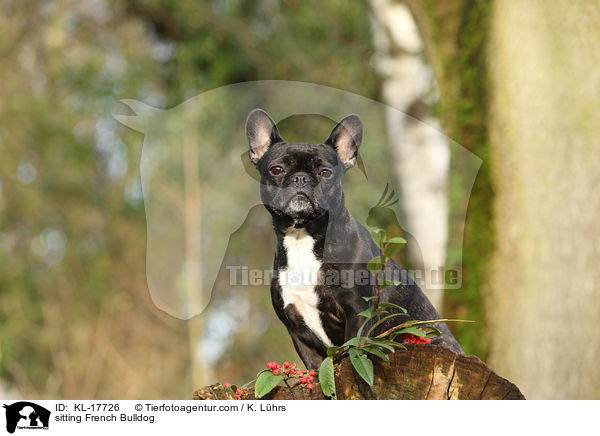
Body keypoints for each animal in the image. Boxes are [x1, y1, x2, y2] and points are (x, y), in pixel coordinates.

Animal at [246, 109, 462, 368]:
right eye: (276, 169)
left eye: (325, 172)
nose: (301, 178)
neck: (303, 237)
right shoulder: (297, 330)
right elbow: (315, 370)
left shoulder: (357, 313)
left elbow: (351, 351)